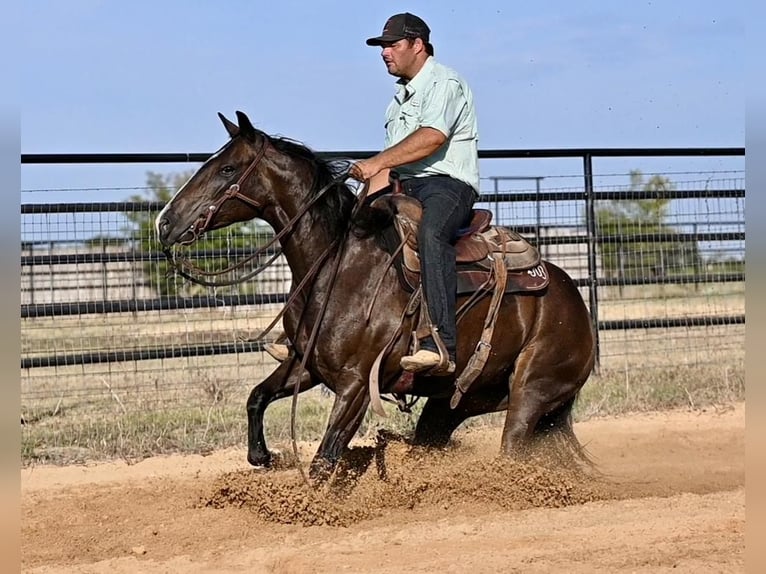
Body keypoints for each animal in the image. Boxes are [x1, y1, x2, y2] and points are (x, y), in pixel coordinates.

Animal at [158, 111, 600, 482]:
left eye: (228, 168)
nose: (165, 222)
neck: (335, 265)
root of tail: (574, 302)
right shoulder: (308, 365)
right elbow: (257, 397)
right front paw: (264, 456)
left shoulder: (356, 384)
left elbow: (324, 460)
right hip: (458, 402)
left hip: (531, 391)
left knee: (513, 451)